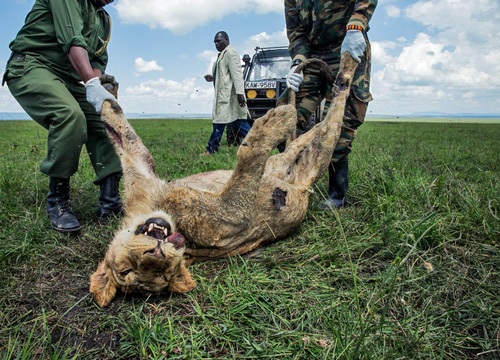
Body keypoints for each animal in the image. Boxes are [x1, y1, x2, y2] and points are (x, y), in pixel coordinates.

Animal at [89, 53, 356, 306]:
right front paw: (271, 123)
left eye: (126, 267)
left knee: (302, 133)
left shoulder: (141, 179)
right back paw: (345, 65)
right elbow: (249, 157)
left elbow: (123, 135)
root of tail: (297, 182)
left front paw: (104, 91)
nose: (158, 253)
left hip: (288, 154)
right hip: (317, 155)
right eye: (160, 274)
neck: (156, 208)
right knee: (334, 115)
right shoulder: (230, 219)